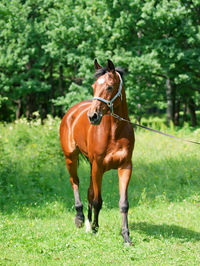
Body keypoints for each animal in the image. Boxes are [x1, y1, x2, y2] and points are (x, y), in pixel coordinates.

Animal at [59, 59, 134, 244]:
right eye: (93, 86)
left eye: (109, 86)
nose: (92, 116)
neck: (115, 132)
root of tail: (72, 111)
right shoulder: (98, 167)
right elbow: (97, 201)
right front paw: (94, 229)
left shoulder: (125, 167)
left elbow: (123, 204)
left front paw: (126, 237)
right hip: (71, 158)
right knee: (75, 182)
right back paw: (80, 218)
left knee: (89, 191)